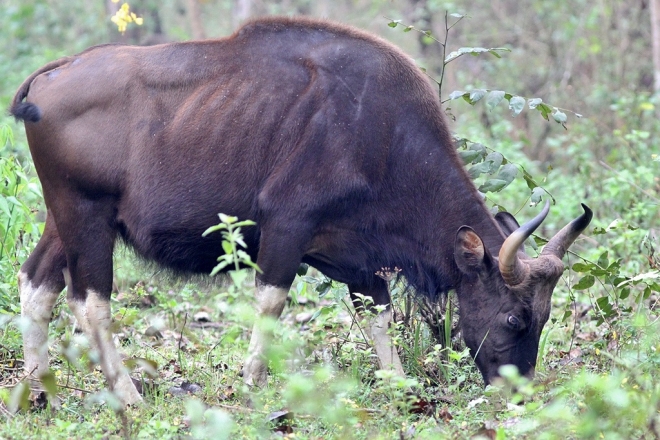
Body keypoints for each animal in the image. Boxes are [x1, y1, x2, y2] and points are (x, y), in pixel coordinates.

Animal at [10, 18, 592, 406]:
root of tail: (56, 72)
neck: (380, 137)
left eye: (545, 318)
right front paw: (251, 385)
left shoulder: (352, 252)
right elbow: (271, 304)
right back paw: (126, 393)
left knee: (37, 283)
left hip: (61, 217)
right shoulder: (286, 227)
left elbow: (376, 312)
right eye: (515, 317)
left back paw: (39, 389)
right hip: (87, 215)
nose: (518, 391)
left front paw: (396, 384)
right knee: (91, 302)